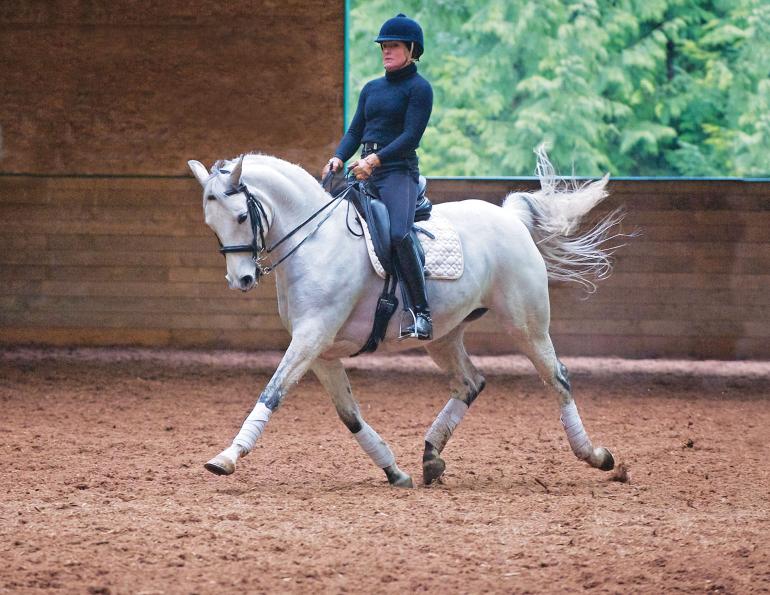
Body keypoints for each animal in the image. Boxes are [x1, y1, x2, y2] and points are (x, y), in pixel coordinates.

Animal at [188, 148, 626, 488]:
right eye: (210, 224)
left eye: (241, 217)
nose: (241, 280)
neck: (315, 241)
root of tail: (509, 218)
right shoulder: (321, 352)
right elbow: (349, 416)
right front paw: (394, 472)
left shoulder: (311, 338)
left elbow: (271, 393)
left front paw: (227, 457)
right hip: (444, 336)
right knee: (470, 383)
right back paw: (431, 456)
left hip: (527, 326)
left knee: (558, 378)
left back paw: (596, 455)